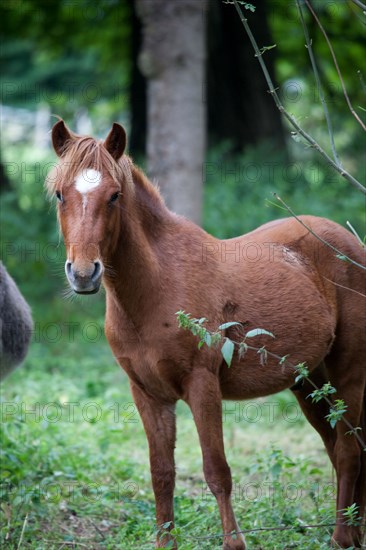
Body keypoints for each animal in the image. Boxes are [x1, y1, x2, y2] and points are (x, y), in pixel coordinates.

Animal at [47, 122, 364, 550]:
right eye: (60, 193)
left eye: (114, 195)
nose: (83, 274)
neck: (156, 286)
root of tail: (349, 247)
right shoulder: (148, 394)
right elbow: (162, 475)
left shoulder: (202, 385)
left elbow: (217, 471)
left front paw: (234, 543)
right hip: (310, 382)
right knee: (340, 448)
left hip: (348, 371)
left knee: (347, 451)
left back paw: (342, 537)